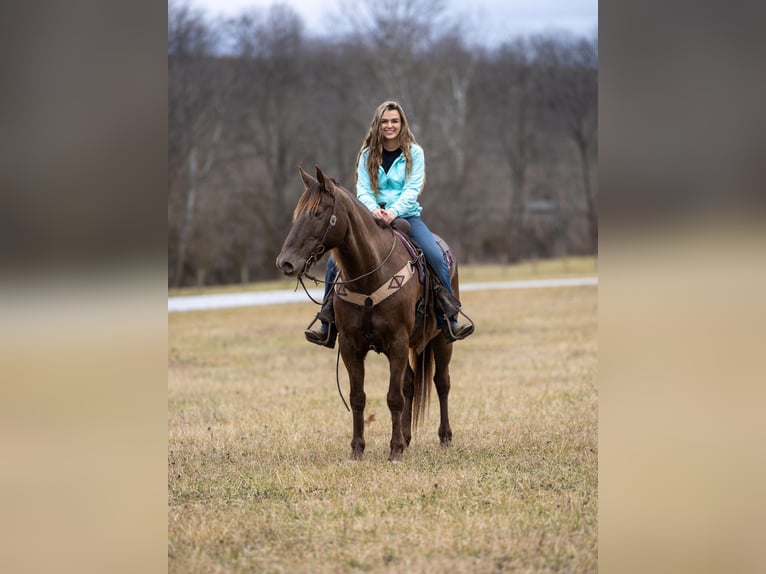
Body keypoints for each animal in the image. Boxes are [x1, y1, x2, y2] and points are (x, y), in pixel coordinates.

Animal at [280, 166, 462, 464]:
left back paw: (444, 437)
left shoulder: (397, 343)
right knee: (411, 382)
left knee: (441, 382)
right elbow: (358, 397)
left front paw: (395, 450)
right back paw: (407, 437)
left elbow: (394, 397)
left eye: (317, 213)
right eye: (298, 213)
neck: (369, 272)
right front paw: (358, 449)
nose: (285, 262)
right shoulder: (350, 346)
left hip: (441, 339)